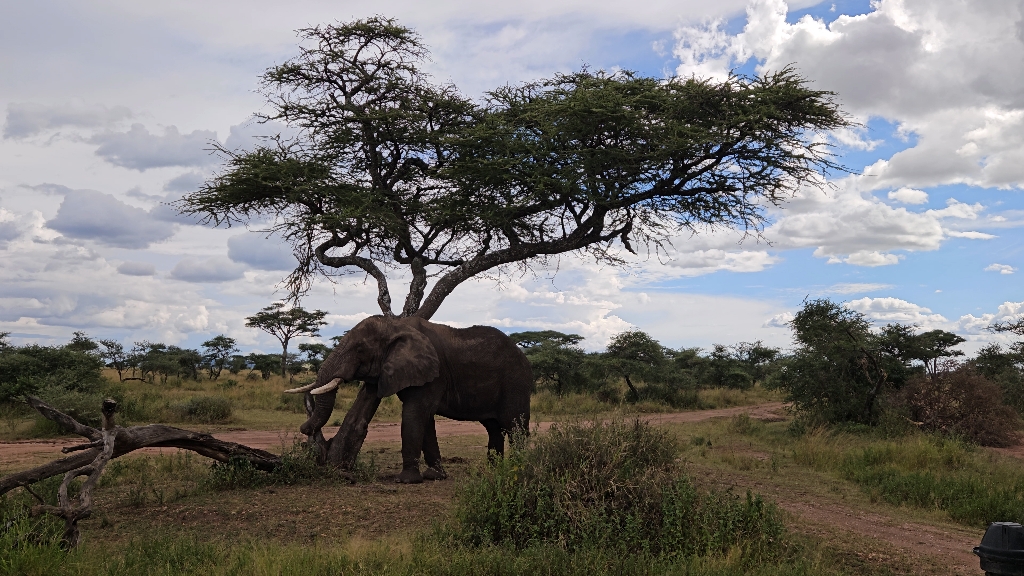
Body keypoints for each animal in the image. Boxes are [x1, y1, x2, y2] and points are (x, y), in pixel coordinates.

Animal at [284, 313, 532, 479]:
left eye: (360, 349)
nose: (305, 430)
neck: (396, 326)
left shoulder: (433, 373)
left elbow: (414, 415)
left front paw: (406, 480)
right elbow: (425, 420)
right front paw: (434, 476)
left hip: (516, 382)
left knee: (515, 427)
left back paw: (518, 469)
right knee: (494, 428)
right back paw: (494, 471)